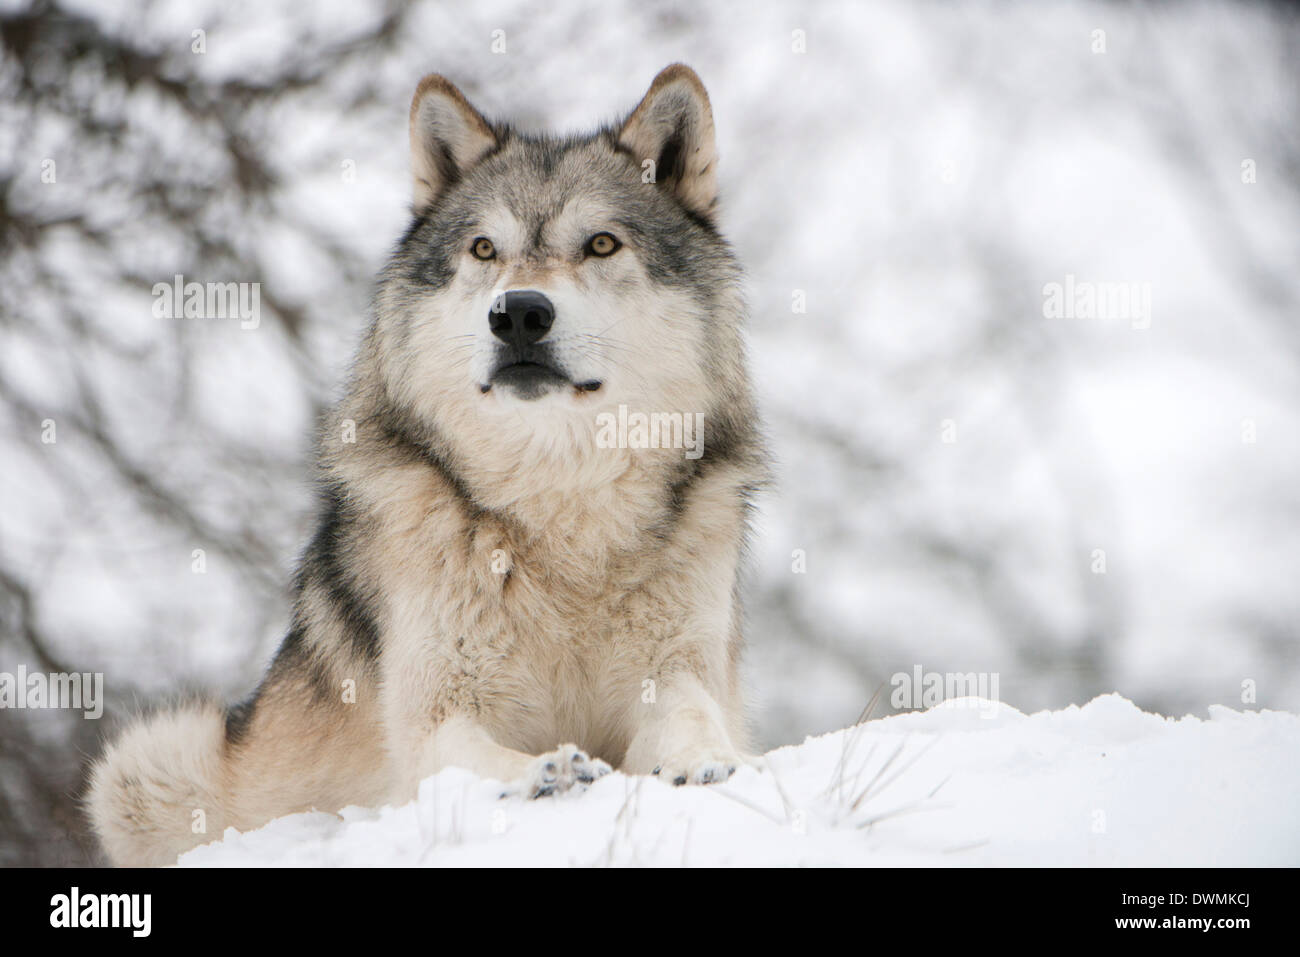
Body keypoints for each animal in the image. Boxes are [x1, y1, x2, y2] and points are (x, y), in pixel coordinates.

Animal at [89, 61, 759, 868]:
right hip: (148, 761)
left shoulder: (679, 671)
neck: (556, 513)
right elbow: (467, 756)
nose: (520, 313)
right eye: (484, 249)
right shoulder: (435, 713)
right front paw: (544, 771)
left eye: (601, 244)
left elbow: (694, 717)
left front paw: (701, 761)